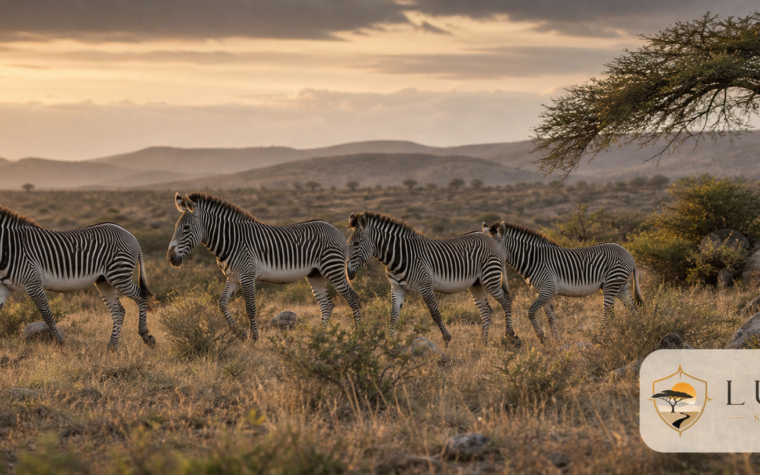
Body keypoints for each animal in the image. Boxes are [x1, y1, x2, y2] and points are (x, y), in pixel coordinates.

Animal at [0, 206, 154, 350]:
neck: (9, 248)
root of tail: (130, 234)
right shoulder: (4, 287)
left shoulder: (33, 283)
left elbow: (48, 316)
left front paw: (61, 344)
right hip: (104, 280)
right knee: (119, 311)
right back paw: (111, 347)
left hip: (119, 275)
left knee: (141, 296)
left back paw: (145, 335)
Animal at [167, 193, 362, 342]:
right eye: (176, 227)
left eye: (186, 228)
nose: (170, 258)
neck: (231, 241)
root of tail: (334, 228)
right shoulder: (233, 278)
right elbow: (221, 303)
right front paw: (239, 332)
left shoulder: (247, 276)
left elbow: (250, 307)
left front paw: (254, 338)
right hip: (316, 274)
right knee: (326, 305)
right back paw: (319, 339)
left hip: (332, 268)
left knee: (353, 299)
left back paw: (359, 336)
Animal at [346, 211, 518, 348]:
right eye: (348, 244)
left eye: (356, 243)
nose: (348, 273)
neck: (399, 257)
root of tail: (490, 238)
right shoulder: (397, 288)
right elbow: (393, 317)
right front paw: (389, 343)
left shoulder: (425, 286)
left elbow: (435, 314)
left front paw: (447, 339)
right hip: (476, 284)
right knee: (487, 310)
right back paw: (483, 342)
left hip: (490, 278)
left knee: (506, 301)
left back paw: (510, 336)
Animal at [483, 221, 643, 343]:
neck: (534, 259)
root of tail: (630, 255)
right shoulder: (546, 292)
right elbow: (551, 318)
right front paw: (557, 342)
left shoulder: (548, 287)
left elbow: (531, 312)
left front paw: (541, 337)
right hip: (620, 287)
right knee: (634, 309)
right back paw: (641, 331)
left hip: (611, 284)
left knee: (608, 314)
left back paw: (598, 338)